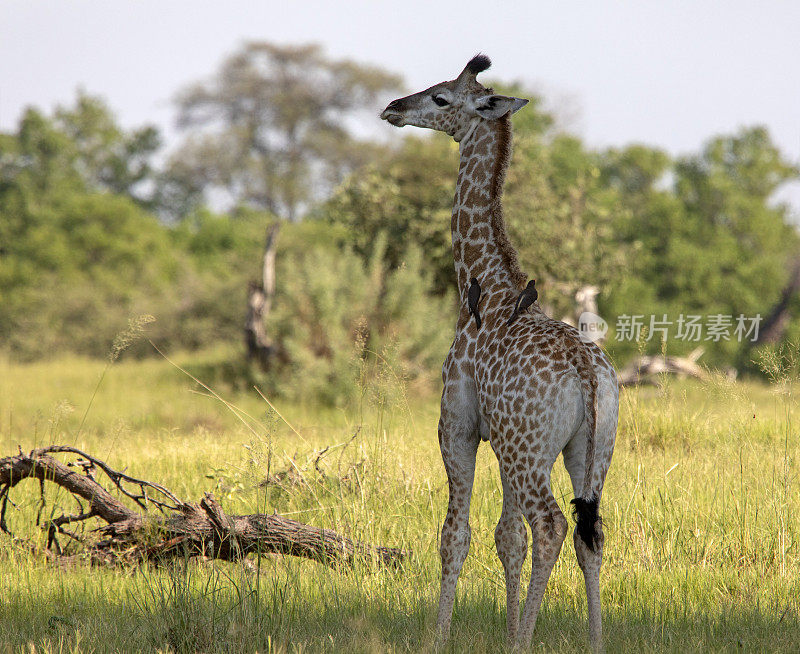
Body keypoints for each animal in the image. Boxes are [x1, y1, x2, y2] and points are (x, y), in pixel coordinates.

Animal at [382, 56, 620, 652]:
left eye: (442, 98)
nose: (393, 107)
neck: (483, 284)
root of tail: (587, 373)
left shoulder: (459, 426)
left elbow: (456, 535)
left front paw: (440, 637)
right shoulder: (501, 441)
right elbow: (507, 537)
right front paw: (508, 628)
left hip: (531, 451)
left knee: (552, 525)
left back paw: (526, 641)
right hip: (589, 450)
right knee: (589, 533)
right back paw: (593, 641)